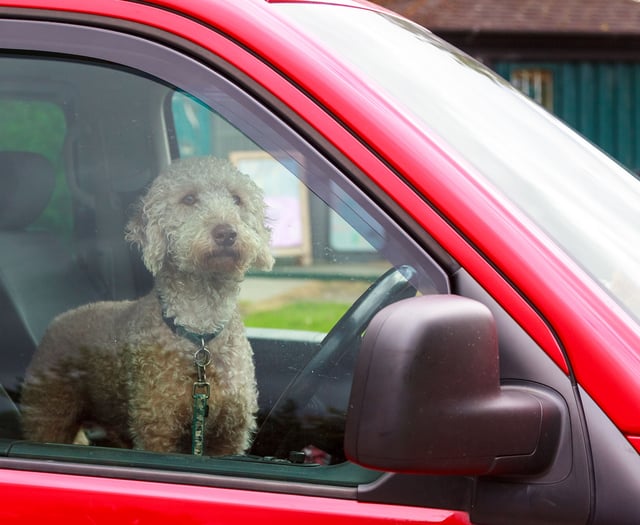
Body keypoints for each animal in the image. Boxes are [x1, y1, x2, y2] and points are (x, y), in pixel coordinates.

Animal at [20, 156, 274, 454]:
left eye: (237, 199)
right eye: (189, 198)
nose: (226, 233)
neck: (199, 331)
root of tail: (56, 321)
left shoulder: (230, 435)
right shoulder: (157, 429)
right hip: (48, 413)